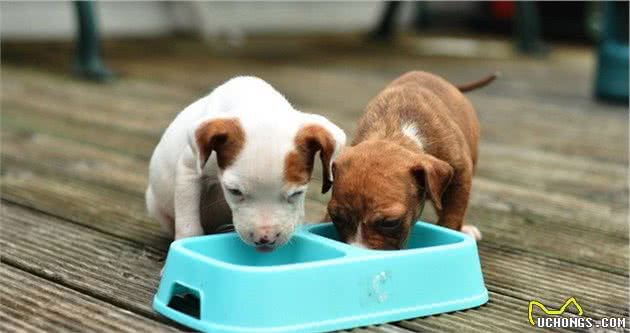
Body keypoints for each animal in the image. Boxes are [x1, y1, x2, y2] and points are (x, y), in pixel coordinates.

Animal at [146, 77, 348, 249]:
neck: (256, 103)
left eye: (297, 193)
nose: (265, 239)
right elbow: (188, 223)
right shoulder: (189, 171)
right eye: (234, 191)